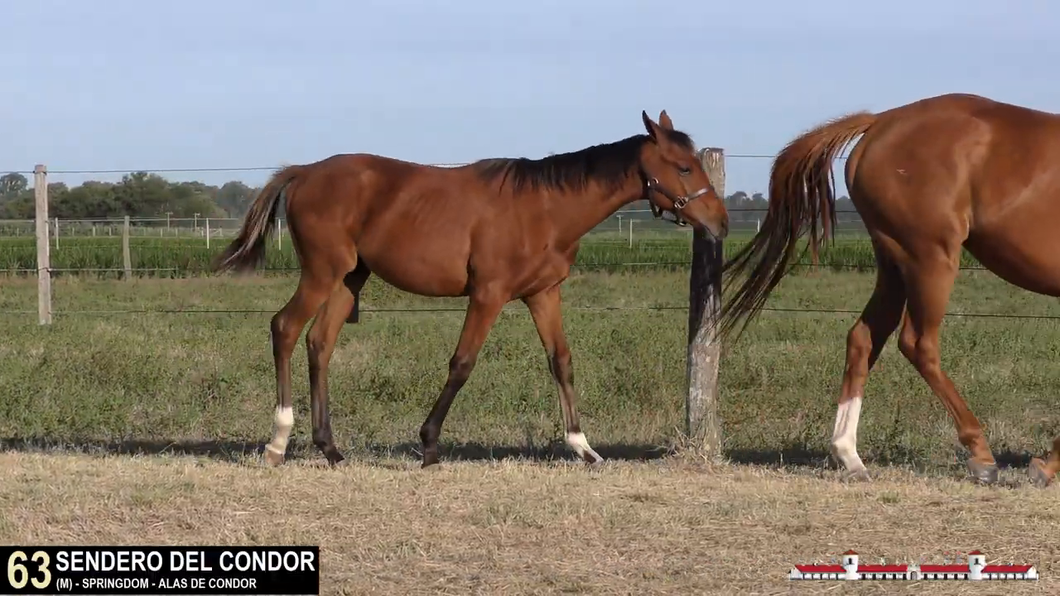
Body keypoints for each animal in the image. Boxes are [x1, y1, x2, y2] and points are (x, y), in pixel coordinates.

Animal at [213, 109, 729, 466]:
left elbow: (560, 362)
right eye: (684, 167)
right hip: (322, 273)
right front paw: (429, 445)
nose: (721, 223)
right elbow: (462, 363)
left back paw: (330, 448)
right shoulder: (488, 295)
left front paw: (582, 447)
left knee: (319, 344)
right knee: (285, 329)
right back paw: (278, 442)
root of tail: (303, 171)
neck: (544, 207)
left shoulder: (543, 295)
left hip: (348, 279)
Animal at [720, 90, 1060, 485]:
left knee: (863, 337)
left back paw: (849, 454)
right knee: (917, 343)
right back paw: (981, 455)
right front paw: (1046, 465)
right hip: (930, 258)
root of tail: (880, 121)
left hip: (893, 264)